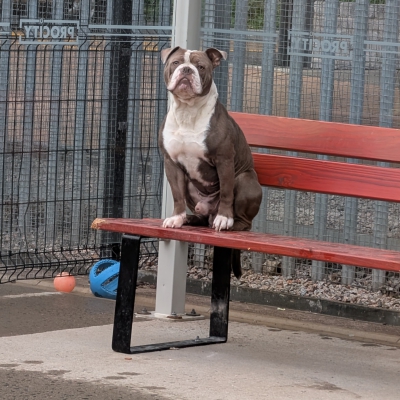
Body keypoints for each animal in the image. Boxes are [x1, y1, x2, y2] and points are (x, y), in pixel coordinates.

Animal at [159, 46, 262, 276]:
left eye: (201, 66)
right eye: (176, 63)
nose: (186, 70)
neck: (187, 111)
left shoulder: (224, 160)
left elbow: (226, 192)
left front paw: (224, 218)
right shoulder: (171, 164)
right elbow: (177, 195)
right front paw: (177, 217)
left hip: (245, 179)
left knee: (244, 221)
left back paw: (226, 223)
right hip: (191, 187)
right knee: (200, 216)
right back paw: (189, 218)